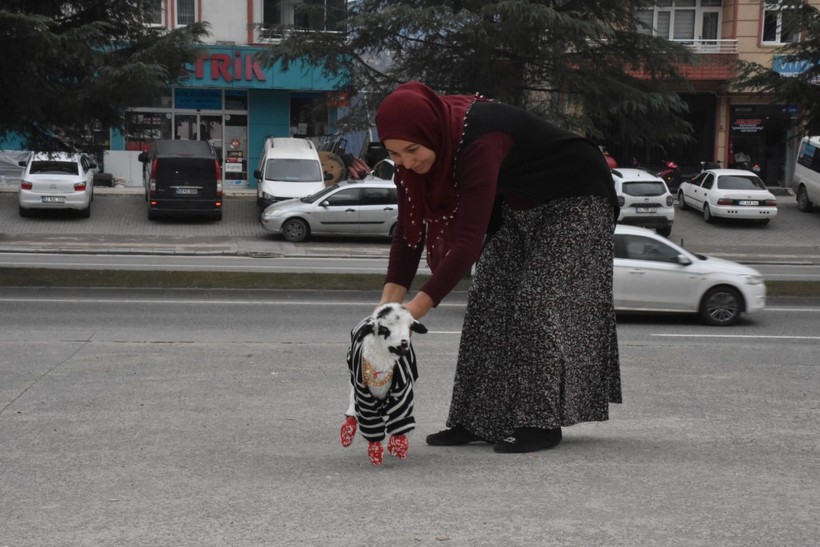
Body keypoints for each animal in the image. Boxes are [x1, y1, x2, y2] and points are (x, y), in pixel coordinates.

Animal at [340, 304, 430, 466]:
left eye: (409, 327)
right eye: (384, 329)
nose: (404, 343)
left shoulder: (402, 391)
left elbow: (400, 418)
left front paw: (399, 445)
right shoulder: (364, 395)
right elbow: (371, 423)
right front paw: (375, 452)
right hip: (352, 375)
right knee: (352, 398)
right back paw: (348, 429)